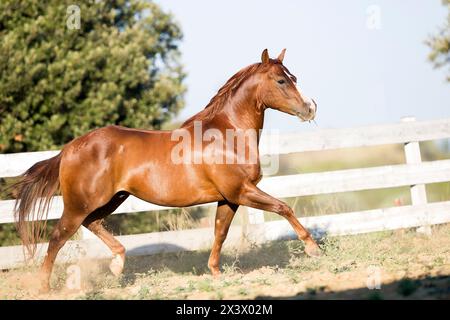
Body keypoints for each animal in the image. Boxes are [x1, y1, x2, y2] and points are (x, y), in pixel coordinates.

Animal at [13, 48, 320, 292]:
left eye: (294, 78)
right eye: (281, 80)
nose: (310, 108)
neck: (227, 135)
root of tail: (70, 148)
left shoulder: (228, 198)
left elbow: (220, 232)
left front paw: (215, 273)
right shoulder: (241, 191)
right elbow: (283, 207)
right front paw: (313, 248)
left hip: (112, 198)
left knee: (92, 224)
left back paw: (117, 263)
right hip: (79, 204)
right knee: (57, 238)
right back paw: (45, 287)